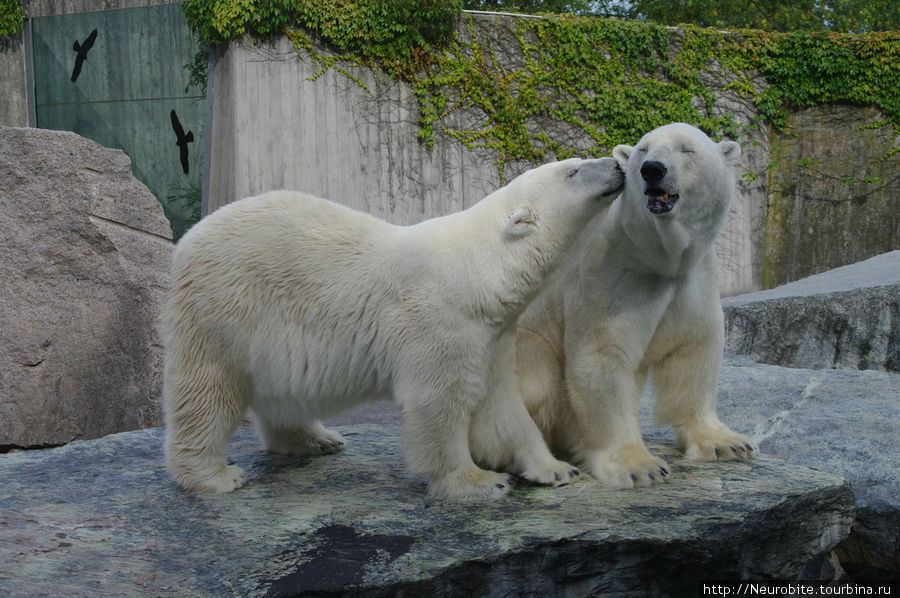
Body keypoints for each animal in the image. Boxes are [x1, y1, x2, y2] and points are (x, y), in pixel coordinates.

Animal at [163, 158, 624, 502]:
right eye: (574, 170)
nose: (619, 164)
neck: (477, 273)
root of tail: (189, 240)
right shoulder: (439, 321)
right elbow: (437, 403)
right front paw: (479, 482)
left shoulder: (492, 336)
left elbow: (501, 407)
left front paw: (556, 469)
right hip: (226, 308)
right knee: (208, 392)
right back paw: (215, 475)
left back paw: (317, 439)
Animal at [516, 124, 756, 490]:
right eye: (644, 149)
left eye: (687, 149)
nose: (652, 169)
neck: (658, 259)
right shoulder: (612, 275)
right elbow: (604, 357)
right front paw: (640, 466)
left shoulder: (695, 280)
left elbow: (695, 349)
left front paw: (726, 443)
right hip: (528, 346)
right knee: (536, 384)